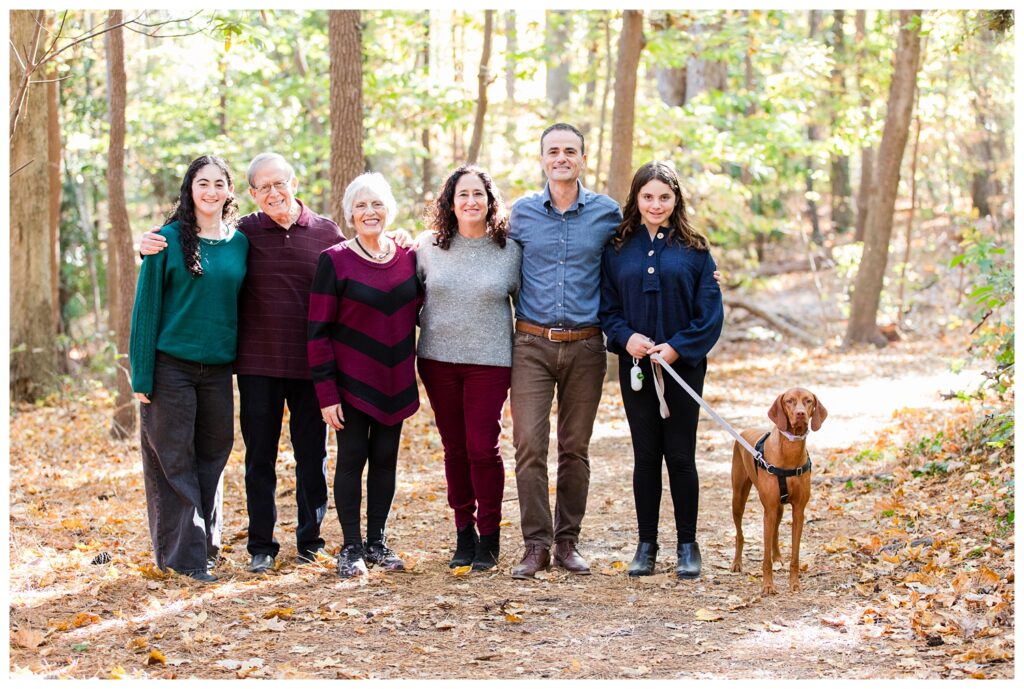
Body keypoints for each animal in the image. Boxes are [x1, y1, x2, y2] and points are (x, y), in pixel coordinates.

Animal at [733, 386, 827, 589]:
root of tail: (745, 431)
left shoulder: (798, 510)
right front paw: (768, 586)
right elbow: (765, 557)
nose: (800, 414)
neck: (790, 451)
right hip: (738, 498)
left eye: (808, 401)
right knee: (739, 533)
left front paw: (794, 584)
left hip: (779, 508)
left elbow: (795, 555)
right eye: (789, 401)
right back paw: (737, 563)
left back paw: (777, 556)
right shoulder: (768, 509)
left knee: (775, 531)